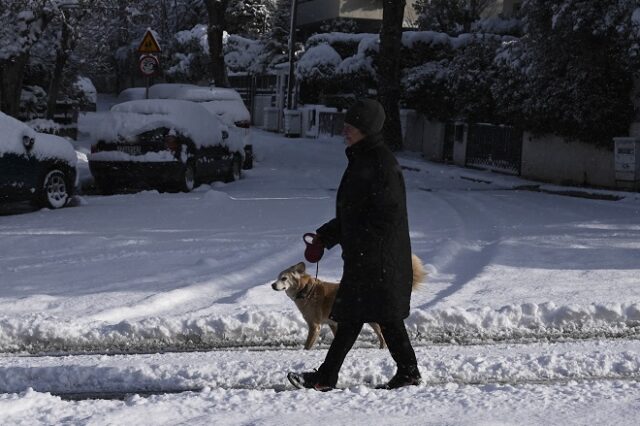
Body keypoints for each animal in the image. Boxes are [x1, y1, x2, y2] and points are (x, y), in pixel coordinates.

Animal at [270, 253, 424, 350]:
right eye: (277, 277)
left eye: (284, 278)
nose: (272, 285)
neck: (306, 290)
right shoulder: (332, 323)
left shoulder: (314, 326)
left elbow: (307, 346)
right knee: (381, 335)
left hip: (374, 319)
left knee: (383, 335)